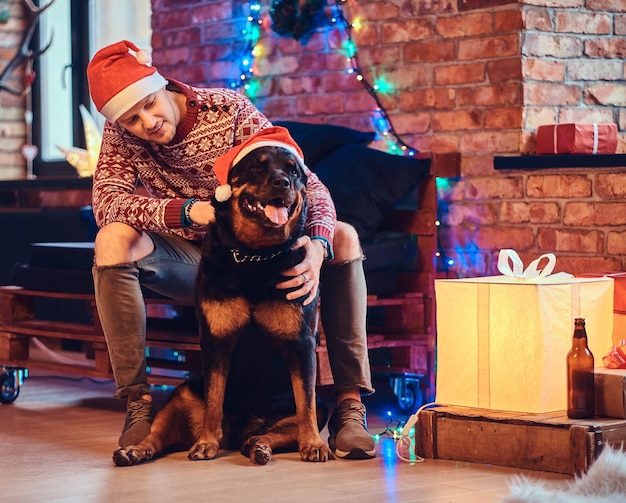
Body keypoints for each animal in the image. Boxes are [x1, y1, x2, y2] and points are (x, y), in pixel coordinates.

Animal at [112, 144, 332, 466]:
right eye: (257, 167)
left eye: (294, 171)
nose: (283, 183)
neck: (256, 256)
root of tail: (241, 429)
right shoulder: (216, 340)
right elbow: (214, 400)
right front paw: (206, 442)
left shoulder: (301, 343)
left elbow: (306, 405)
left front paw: (314, 443)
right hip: (183, 393)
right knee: (158, 434)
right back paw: (136, 450)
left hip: (312, 405)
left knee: (277, 429)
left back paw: (259, 446)